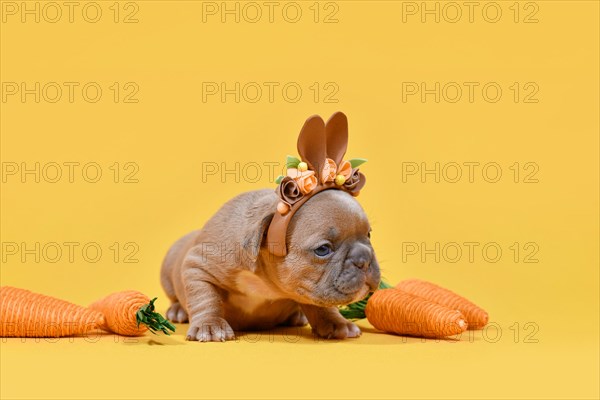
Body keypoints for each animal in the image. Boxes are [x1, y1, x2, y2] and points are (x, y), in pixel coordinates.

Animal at [159, 111, 380, 340]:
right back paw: (178, 310)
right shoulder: (198, 266)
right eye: (323, 249)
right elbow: (205, 297)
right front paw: (210, 326)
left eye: (369, 235)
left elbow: (321, 304)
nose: (364, 259)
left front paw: (337, 323)